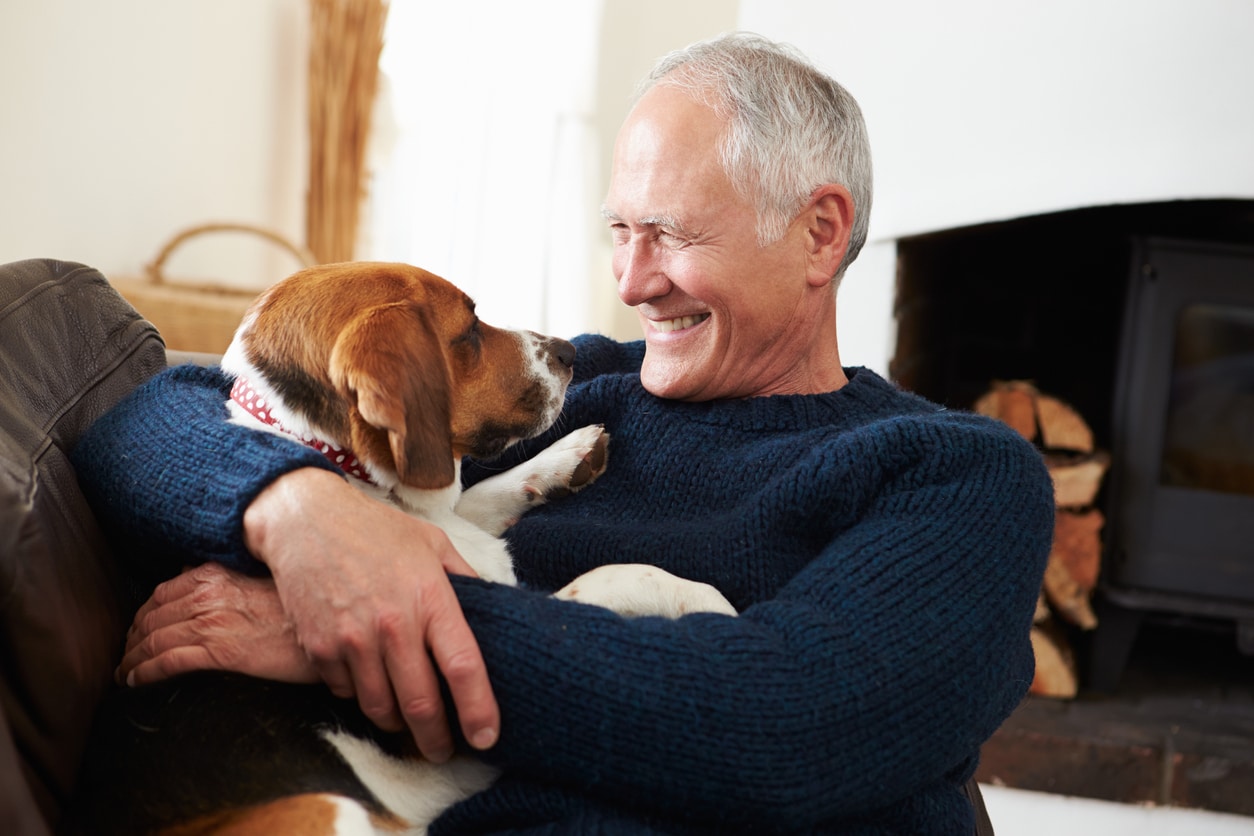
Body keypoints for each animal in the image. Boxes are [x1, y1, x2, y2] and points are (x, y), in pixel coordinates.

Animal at [68, 261, 732, 836]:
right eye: (469, 331)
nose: (569, 353)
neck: (346, 467)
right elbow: (601, 582)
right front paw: (698, 598)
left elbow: (482, 496)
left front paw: (565, 458)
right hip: (329, 809)